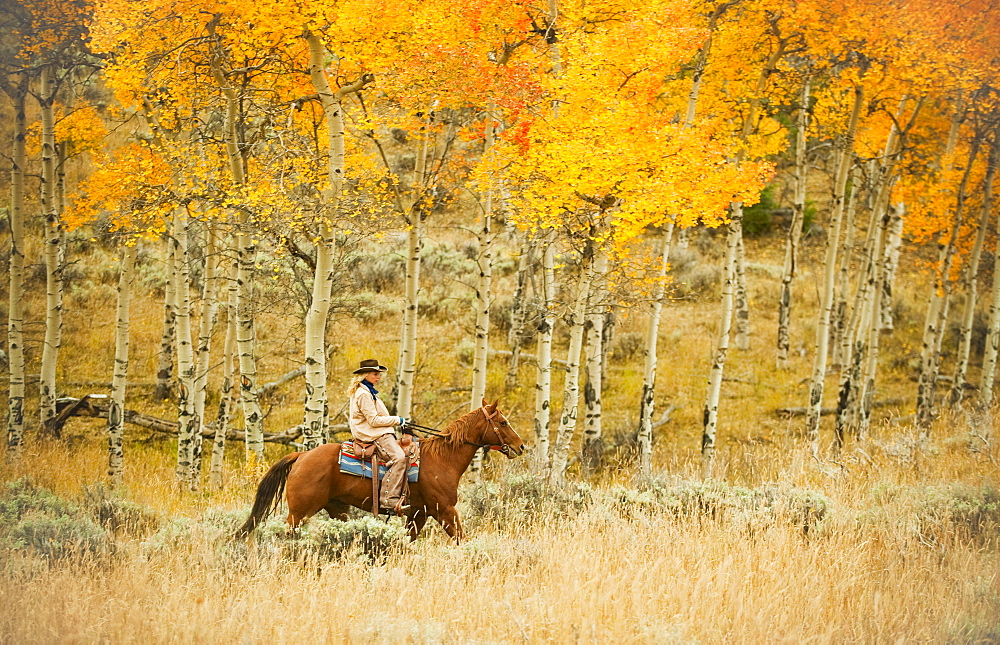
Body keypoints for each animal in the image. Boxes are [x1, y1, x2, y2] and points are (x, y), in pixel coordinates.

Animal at [238, 400, 528, 540]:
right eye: (503, 422)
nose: (520, 446)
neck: (442, 459)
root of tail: (301, 456)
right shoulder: (444, 510)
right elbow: (461, 539)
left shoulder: (418, 515)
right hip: (299, 513)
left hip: (337, 509)